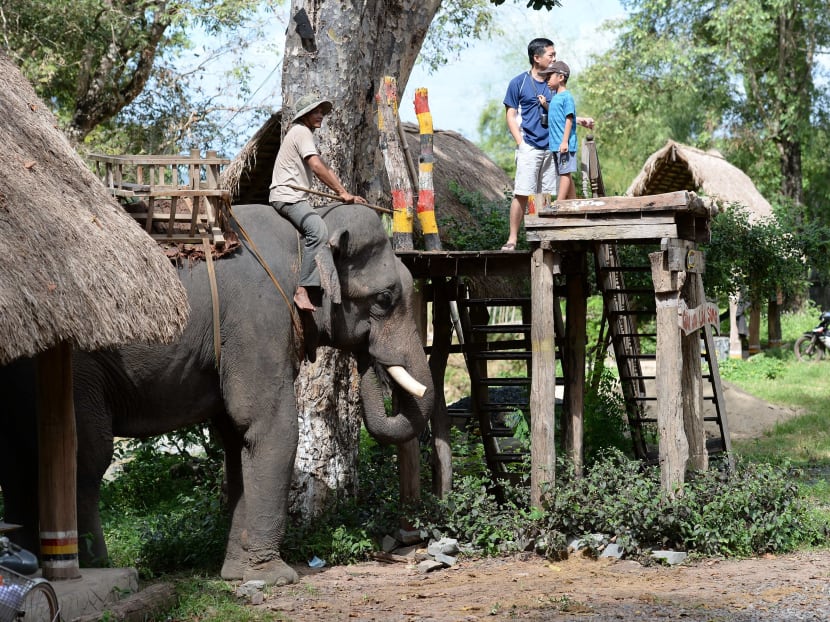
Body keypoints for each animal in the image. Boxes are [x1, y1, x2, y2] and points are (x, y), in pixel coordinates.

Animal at [0, 202, 434, 586]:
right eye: (384, 299)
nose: (369, 361)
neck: (305, 235)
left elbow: (236, 436)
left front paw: (237, 575)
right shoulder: (258, 320)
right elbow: (270, 426)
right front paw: (274, 577)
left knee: (21, 460)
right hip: (76, 366)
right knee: (86, 457)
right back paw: (101, 569)